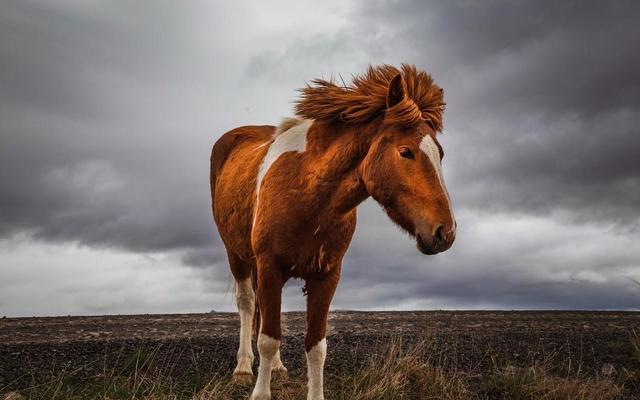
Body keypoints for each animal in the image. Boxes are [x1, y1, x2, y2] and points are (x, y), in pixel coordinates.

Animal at [210, 64, 456, 398]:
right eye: (406, 152)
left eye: (440, 154)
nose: (446, 232)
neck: (308, 190)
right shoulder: (270, 266)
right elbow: (268, 339)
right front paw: (260, 392)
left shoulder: (327, 274)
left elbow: (316, 347)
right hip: (236, 255)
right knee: (248, 304)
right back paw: (244, 368)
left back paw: (276, 367)